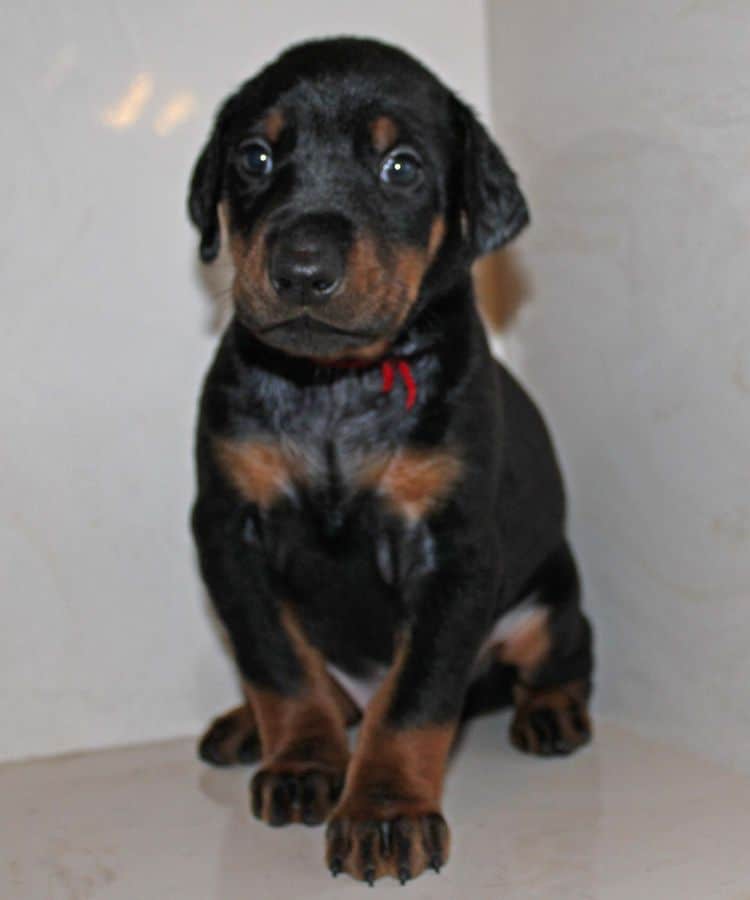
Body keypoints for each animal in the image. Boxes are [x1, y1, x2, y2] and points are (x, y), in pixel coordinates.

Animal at [187, 37, 592, 884]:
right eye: (253, 156)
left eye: (400, 167)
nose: (302, 268)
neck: (336, 387)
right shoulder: (228, 530)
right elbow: (275, 661)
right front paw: (302, 764)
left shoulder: (453, 550)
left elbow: (414, 698)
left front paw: (383, 814)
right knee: (329, 688)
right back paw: (247, 726)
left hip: (548, 596)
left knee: (562, 649)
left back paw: (552, 710)